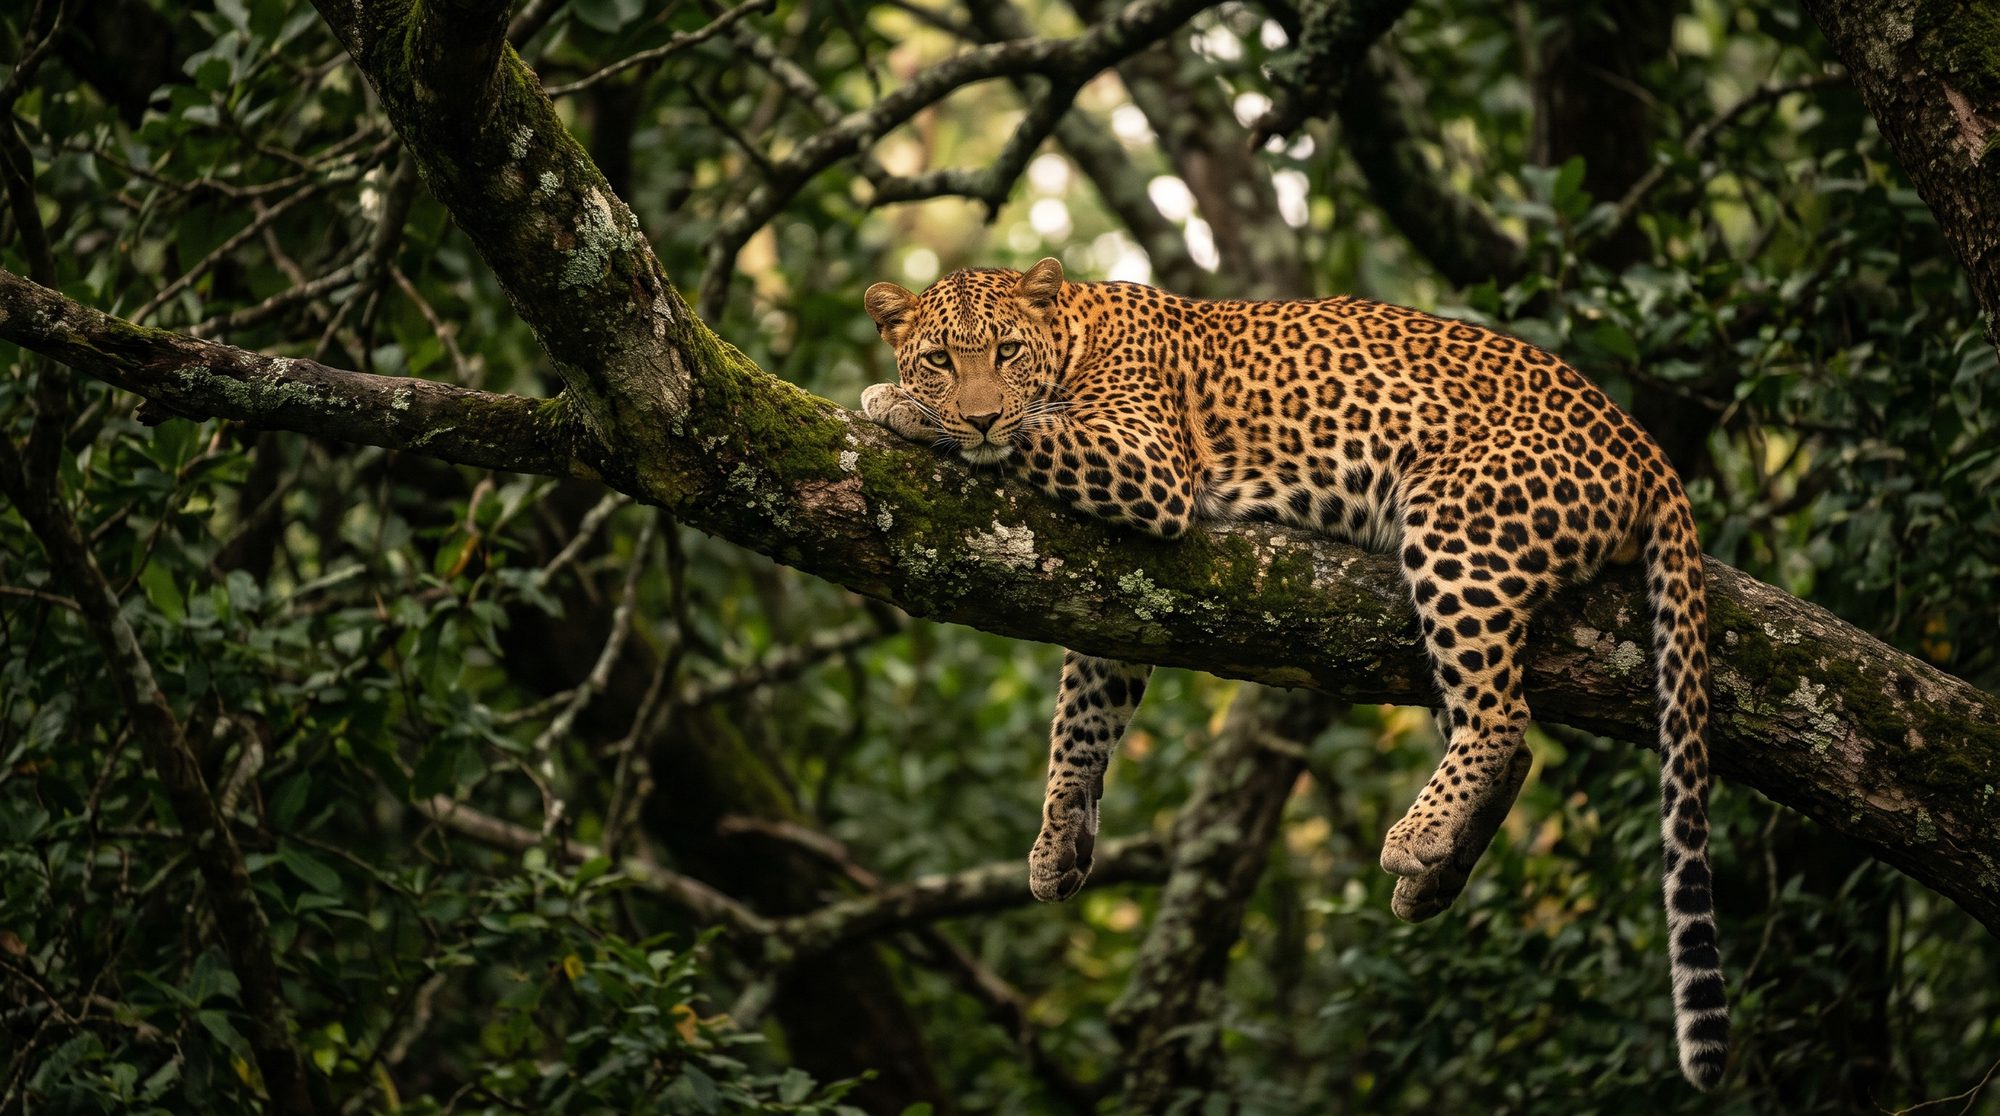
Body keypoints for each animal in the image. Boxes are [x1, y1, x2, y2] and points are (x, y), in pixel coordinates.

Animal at [859, 258, 1727, 1090]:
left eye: (1006, 352)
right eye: (940, 359)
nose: (977, 413)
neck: (1075, 335)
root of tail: (1645, 444)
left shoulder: (1148, 467)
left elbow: (1035, 432)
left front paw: (898, 405)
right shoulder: (1110, 592)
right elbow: (1082, 721)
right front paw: (1058, 841)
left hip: (1460, 534)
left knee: (1501, 714)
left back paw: (1415, 837)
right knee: (1508, 743)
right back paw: (1435, 876)